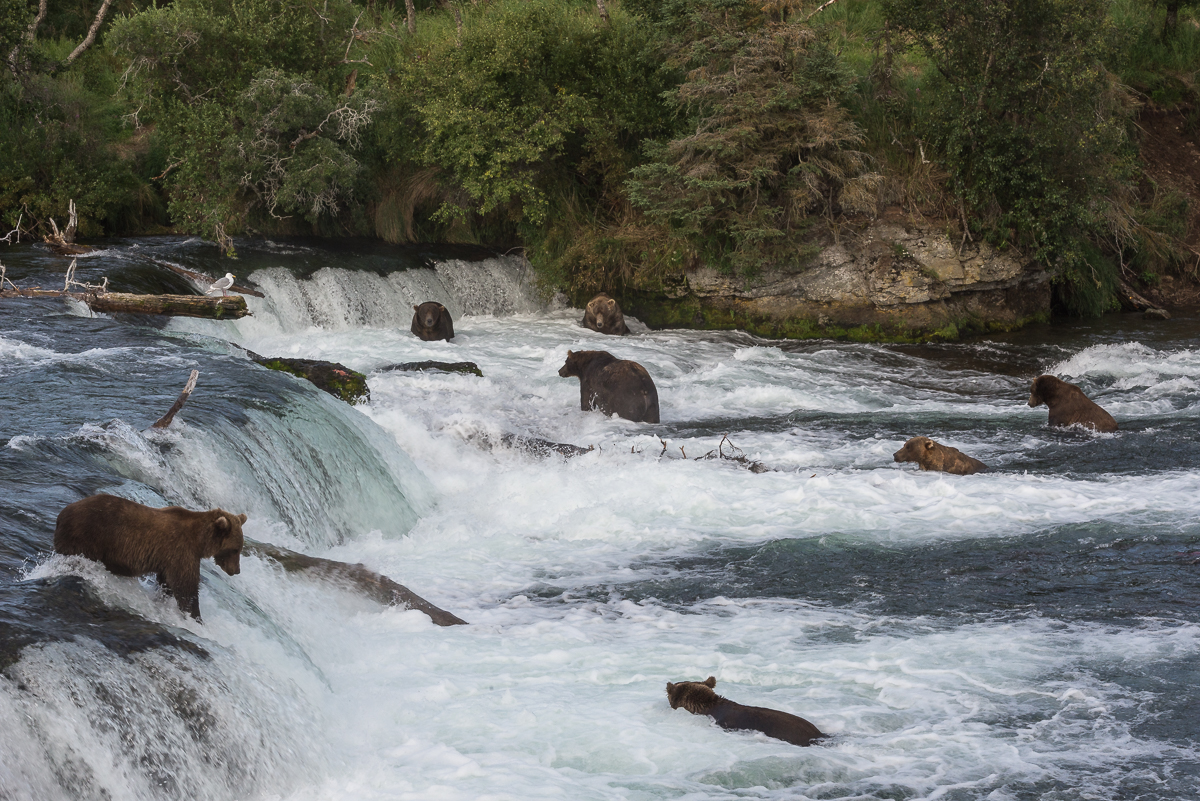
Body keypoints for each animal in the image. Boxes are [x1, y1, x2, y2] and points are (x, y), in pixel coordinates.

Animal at [55, 494, 247, 618]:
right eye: (235, 549)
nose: (236, 570)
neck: (200, 541)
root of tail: (63, 512)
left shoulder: (168, 562)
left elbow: (167, 585)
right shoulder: (182, 553)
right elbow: (186, 588)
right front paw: (195, 617)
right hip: (86, 538)